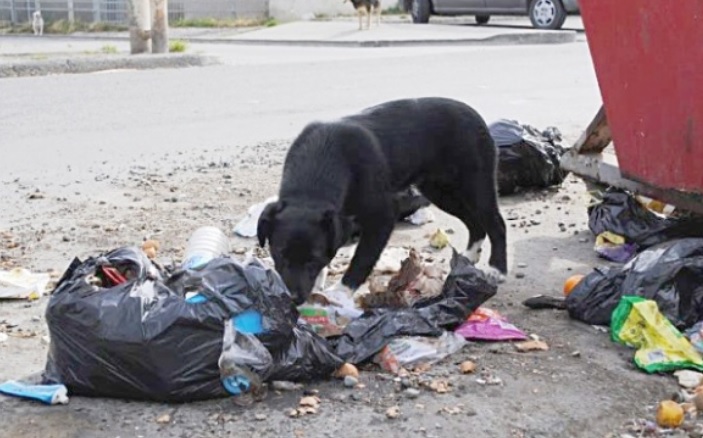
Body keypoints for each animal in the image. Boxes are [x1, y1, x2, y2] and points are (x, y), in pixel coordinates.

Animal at [258, 98, 506, 304]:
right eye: (279, 253)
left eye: (313, 259)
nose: (293, 298)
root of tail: (474, 114)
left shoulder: (383, 215)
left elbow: (362, 258)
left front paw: (340, 293)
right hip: (438, 191)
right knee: (474, 222)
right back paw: (470, 256)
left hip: (477, 183)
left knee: (495, 222)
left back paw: (497, 269)